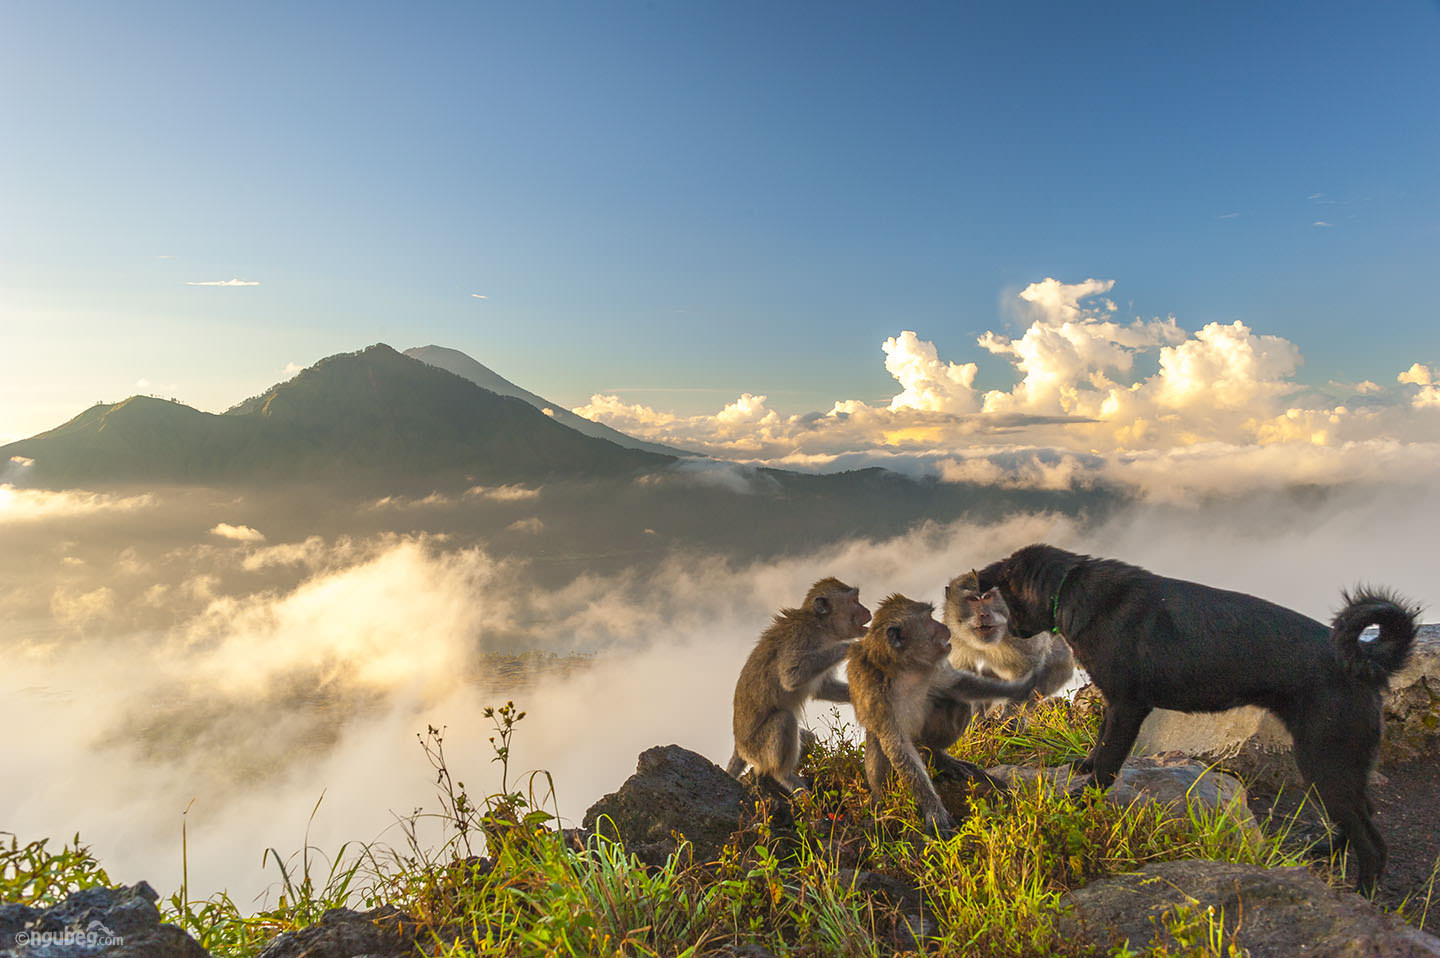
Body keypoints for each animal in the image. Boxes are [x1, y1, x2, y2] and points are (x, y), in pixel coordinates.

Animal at [725, 576, 869, 789]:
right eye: (854, 601)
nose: (867, 610)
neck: (820, 626)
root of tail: (739, 747)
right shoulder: (801, 636)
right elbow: (791, 677)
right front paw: (850, 646)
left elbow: (822, 688)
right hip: (757, 750)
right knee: (784, 720)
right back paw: (785, 777)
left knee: (807, 738)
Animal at [840, 593, 1036, 835]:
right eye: (928, 619)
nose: (944, 627)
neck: (905, 668)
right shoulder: (875, 693)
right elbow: (898, 748)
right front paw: (933, 810)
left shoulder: (936, 665)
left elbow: (960, 685)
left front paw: (1020, 688)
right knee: (878, 743)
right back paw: (879, 799)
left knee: (956, 702)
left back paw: (939, 757)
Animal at [973, 541, 1422, 893]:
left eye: (1007, 603)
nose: (1014, 631)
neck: (1070, 587)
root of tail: (1364, 661)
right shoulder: (1115, 706)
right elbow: (1099, 746)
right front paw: (1082, 765)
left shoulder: (1127, 705)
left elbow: (1108, 761)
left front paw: (1084, 798)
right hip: (1339, 762)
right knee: (1362, 811)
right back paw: (1326, 850)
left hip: (1323, 757)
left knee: (1373, 843)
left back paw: (1362, 895)